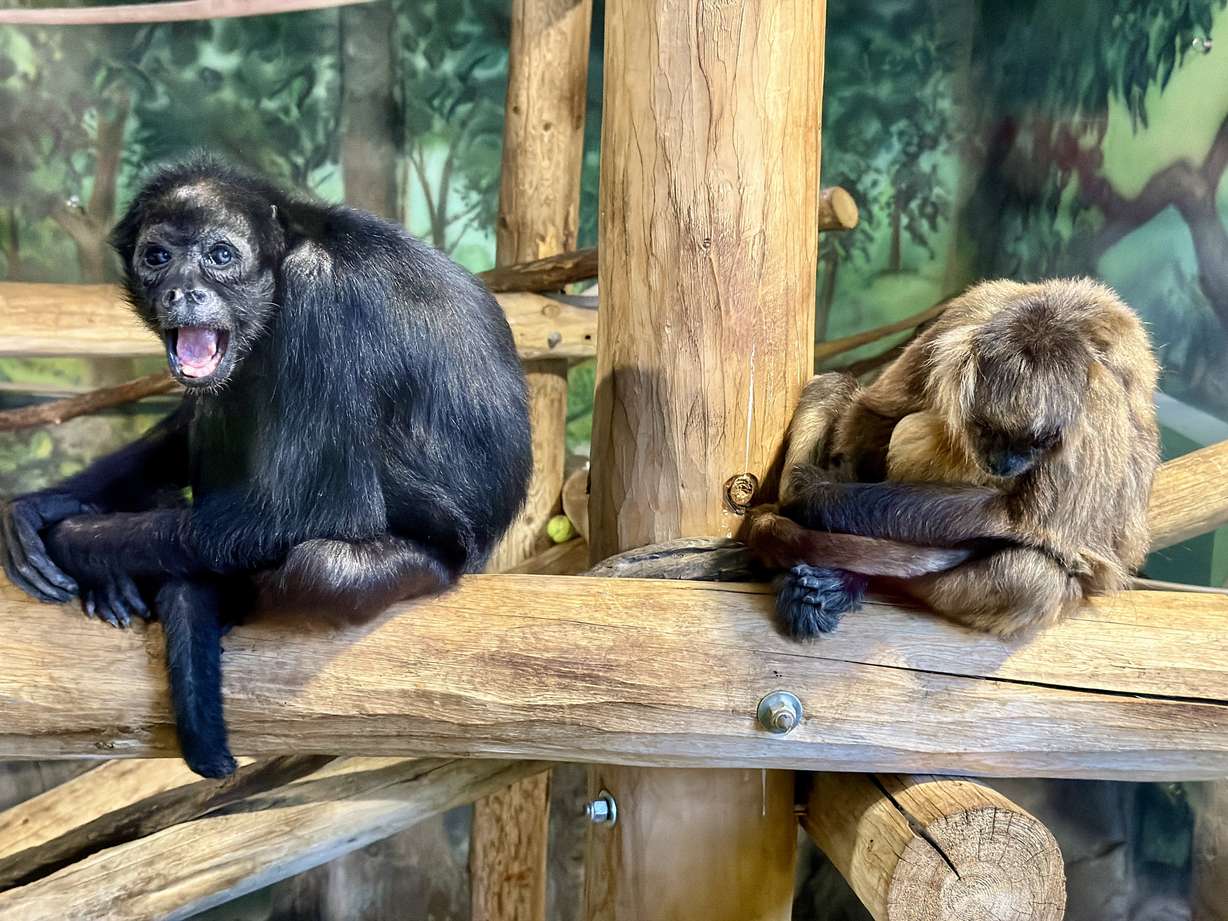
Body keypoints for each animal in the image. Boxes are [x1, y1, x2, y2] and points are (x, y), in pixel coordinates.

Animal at [0, 154, 533, 778]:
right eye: (157, 258)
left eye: (220, 256)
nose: (183, 291)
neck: (298, 244)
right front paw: (48, 503)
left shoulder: (320, 300)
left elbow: (299, 512)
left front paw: (76, 538)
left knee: (323, 569)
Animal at [748, 277, 1160, 638]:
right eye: (988, 431)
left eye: (1035, 443)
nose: (1004, 464)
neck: (1061, 312)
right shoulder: (967, 315)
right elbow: (875, 411)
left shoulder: (1098, 398)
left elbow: (1021, 520)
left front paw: (815, 498)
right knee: (835, 387)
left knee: (1030, 577)